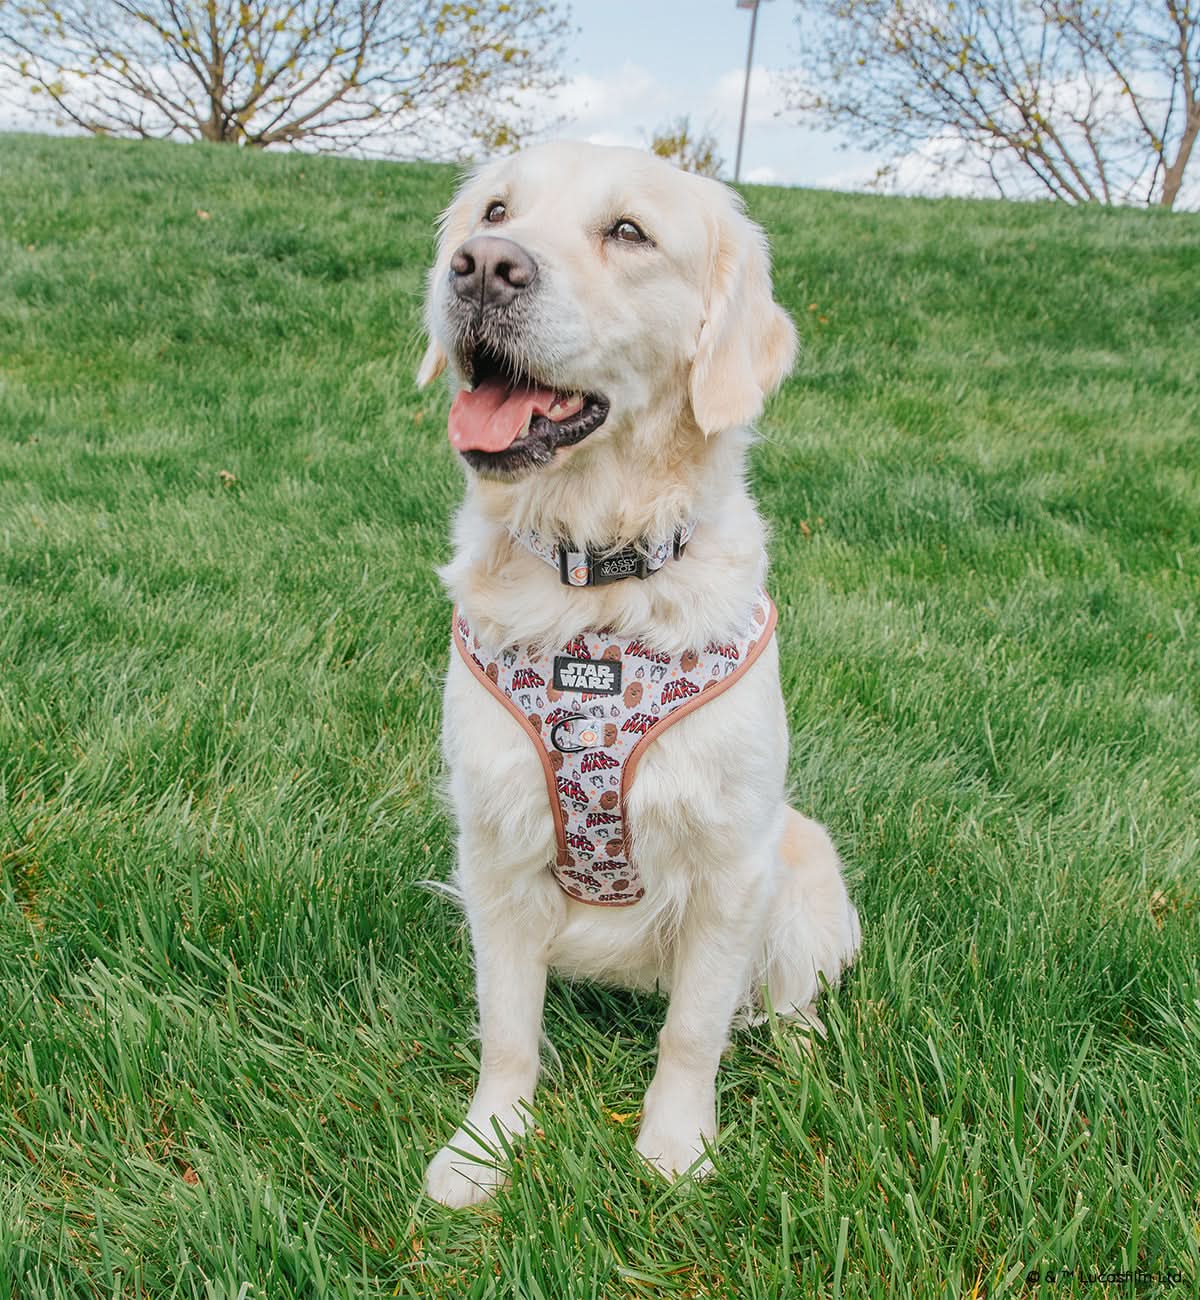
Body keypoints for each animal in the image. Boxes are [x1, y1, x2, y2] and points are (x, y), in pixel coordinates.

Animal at [416, 141, 861, 1208]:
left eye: (628, 232)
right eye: (496, 212)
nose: (483, 269)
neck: (595, 585)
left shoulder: (731, 862)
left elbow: (693, 1031)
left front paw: (675, 1149)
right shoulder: (495, 850)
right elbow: (508, 1031)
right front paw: (484, 1148)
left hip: (806, 866)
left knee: (789, 1002)